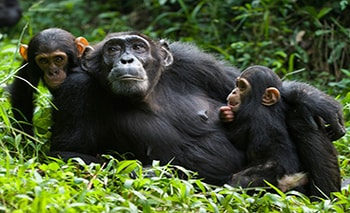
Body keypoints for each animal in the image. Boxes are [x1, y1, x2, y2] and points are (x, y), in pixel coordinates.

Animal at [49, 31, 344, 191]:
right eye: (112, 49)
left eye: (138, 47)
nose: (126, 59)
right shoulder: (76, 89)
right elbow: (66, 153)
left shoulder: (194, 62)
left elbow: (240, 82)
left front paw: (311, 97)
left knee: (302, 117)